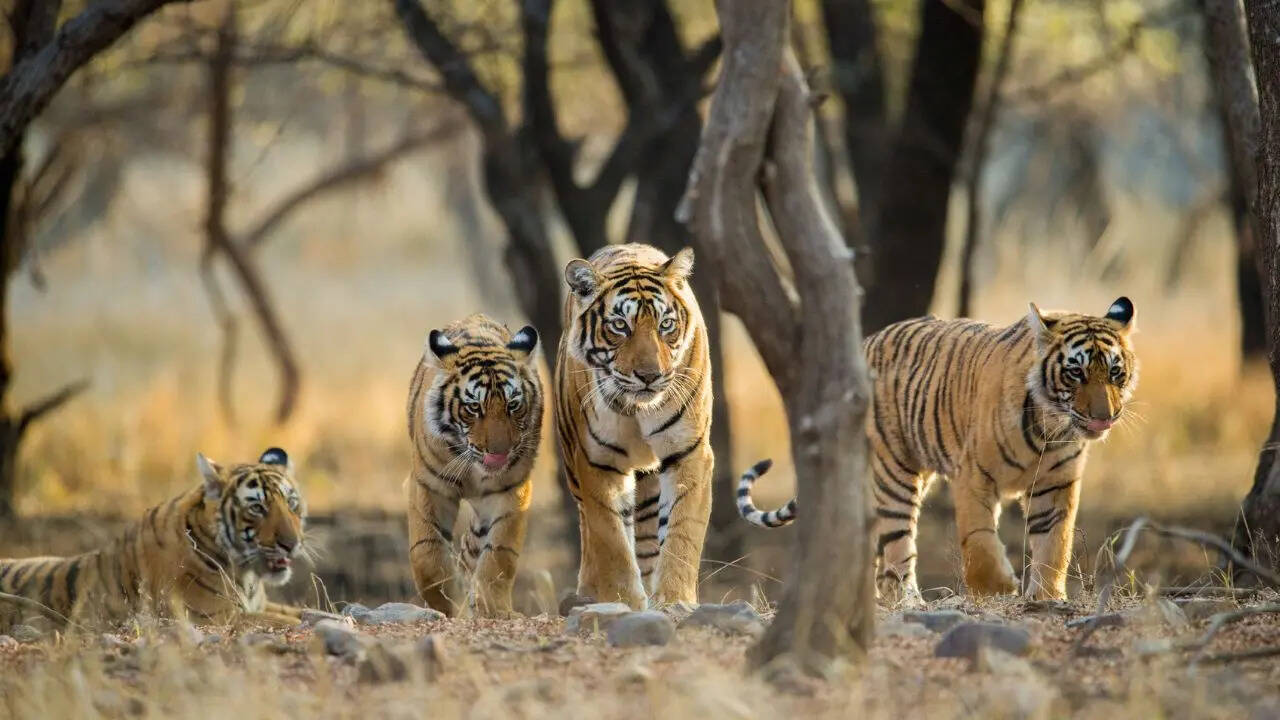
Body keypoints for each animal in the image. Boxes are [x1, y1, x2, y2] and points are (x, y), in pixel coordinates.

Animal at [0, 447, 307, 630]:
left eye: (291, 503)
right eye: (257, 508)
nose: (291, 544)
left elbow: (303, 612)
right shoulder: (215, 616)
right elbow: (288, 621)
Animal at [405, 314, 542, 617]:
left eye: (513, 405)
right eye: (473, 408)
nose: (500, 453)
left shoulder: (511, 490)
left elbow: (499, 553)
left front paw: (492, 609)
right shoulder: (429, 486)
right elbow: (426, 553)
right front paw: (445, 604)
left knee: (474, 547)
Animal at [555, 243, 713, 609]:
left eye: (666, 324)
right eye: (619, 326)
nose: (650, 376)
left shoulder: (689, 452)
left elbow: (682, 532)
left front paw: (675, 600)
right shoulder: (598, 461)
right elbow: (611, 540)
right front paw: (622, 600)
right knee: (590, 529)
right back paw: (587, 592)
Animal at [736, 298, 1139, 603]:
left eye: (1115, 373)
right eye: (1076, 373)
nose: (1105, 416)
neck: (1050, 427)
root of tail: (865, 342)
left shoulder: (1055, 486)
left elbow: (1055, 544)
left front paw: (1047, 597)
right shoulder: (973, 475)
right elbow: (978, 539)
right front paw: (998, 589)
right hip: (894, 473)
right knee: (897, 545)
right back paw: (908, 601)